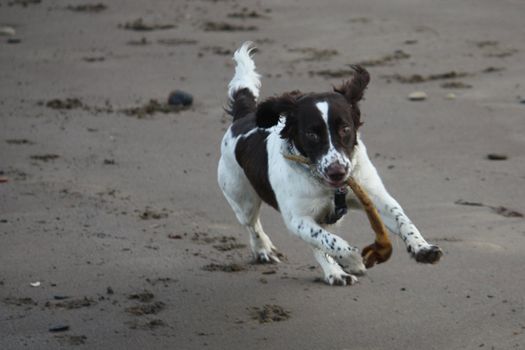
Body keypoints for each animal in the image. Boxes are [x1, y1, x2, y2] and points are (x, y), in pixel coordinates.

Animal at [218, 42, 442, 286]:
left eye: (345, 128)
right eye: (311, 134)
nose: (338, 172)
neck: (329, 187)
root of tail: (244, 116)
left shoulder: (375, 196)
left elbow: (403, 220)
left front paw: (423, 248)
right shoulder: (297, 218)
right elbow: (328, 241)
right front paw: (352, 260)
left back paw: (334, 272)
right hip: (243, 199)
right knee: (255, 225)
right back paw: (267, 251)